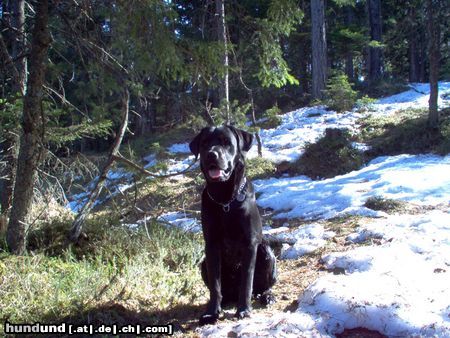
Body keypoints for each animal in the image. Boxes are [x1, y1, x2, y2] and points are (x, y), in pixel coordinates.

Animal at [188, 126, 276, 324]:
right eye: (205, 143)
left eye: (226, 142)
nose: (211, 154)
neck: (225, 201)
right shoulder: (211, 245)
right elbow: (215, 285)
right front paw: (212, 312)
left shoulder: (250, 244)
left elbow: (246, 281)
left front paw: (243, 310)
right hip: (203, 264)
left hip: (266, 252)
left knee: (262, 287)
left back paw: (267, 296)